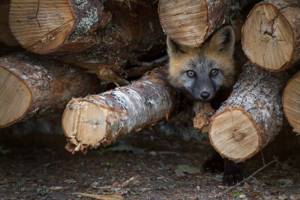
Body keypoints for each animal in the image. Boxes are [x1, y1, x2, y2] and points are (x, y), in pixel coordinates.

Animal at [166, 25, 244, 186]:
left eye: (214, 72)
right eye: (191, 73)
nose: (205, 94)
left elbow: (233, 147)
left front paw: (233, 171)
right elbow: (218, 142)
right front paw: (216, 162)